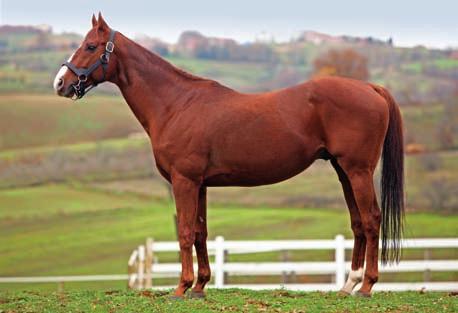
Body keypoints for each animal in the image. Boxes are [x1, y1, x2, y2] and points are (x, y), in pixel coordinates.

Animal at [52, 14, 404, 298]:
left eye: (91, 46)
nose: (60, 83)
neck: (177, 104)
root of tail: (371, 88)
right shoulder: (200, 184)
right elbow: (200, 232)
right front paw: (199, 286)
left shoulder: (184, 181)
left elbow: (184, 232)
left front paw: (181, 288)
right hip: (344, 172)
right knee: (358, 222)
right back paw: (348, 285)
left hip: (357, 171)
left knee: (372, 219)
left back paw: (368, 286)